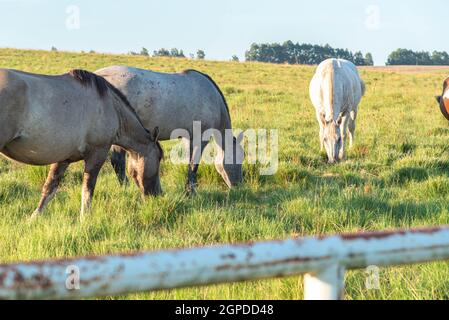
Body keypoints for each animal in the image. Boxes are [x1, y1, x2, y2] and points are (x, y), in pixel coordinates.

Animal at [0, 68, 163, 219]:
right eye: (159, 158)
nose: (158, 195)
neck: (113, 108)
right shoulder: (97, 153)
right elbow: (88, 189)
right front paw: (85, 218)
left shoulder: (63, 158)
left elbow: (50, 187)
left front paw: (34, 217)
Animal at [93, 66, 242, 194]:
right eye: (239, 159)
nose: (239, 186)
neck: (213, 99)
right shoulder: (201, 137)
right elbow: (194, 165)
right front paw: (191, 191)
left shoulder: (188, 138)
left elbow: (189, 162)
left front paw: (189, 189)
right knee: (118, 162)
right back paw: (127, 187)